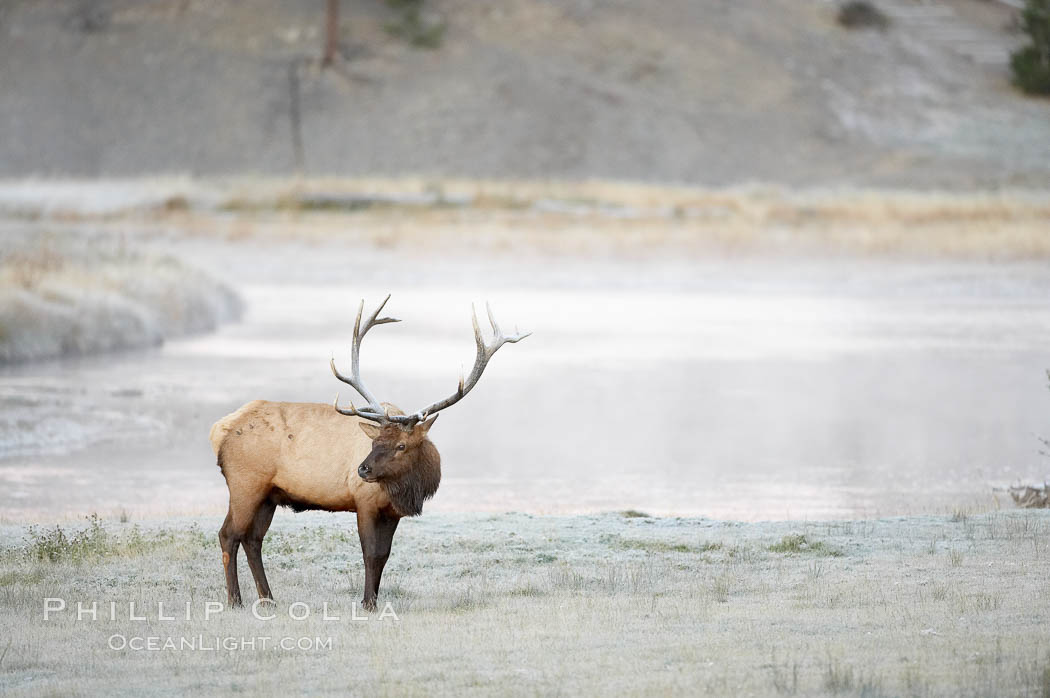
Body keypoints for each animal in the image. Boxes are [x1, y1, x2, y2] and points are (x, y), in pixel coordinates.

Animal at [209, 295, 529, 608]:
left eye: (401, 445)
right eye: (375, 443)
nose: (362, 469)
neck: (407, 489)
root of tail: (220, 430)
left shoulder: (391, 512)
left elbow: (384, 556)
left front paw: (372, 598)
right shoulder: (364, 502)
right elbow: (370, 554)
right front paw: (368, 603)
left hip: (269, 494)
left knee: (253, 538)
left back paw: (267, 598)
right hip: (245, 484)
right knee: (229, 534)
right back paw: (235, 600)